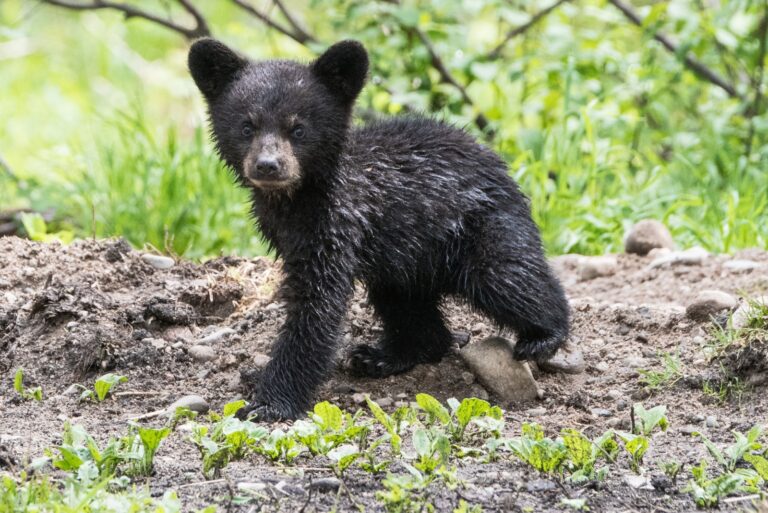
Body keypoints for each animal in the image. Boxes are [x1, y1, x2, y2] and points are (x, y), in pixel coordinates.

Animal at [188, 38, 570, 421]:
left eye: (298, 128)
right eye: (247, 126)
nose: (268, 166)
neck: (296, 201)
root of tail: (499, 164)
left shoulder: (337, 225)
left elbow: (317, 307)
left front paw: (269, 402)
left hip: (480, 224)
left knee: (507, 275)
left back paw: (545, 334)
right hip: (405, 258)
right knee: (405, 304)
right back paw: (383, 356)